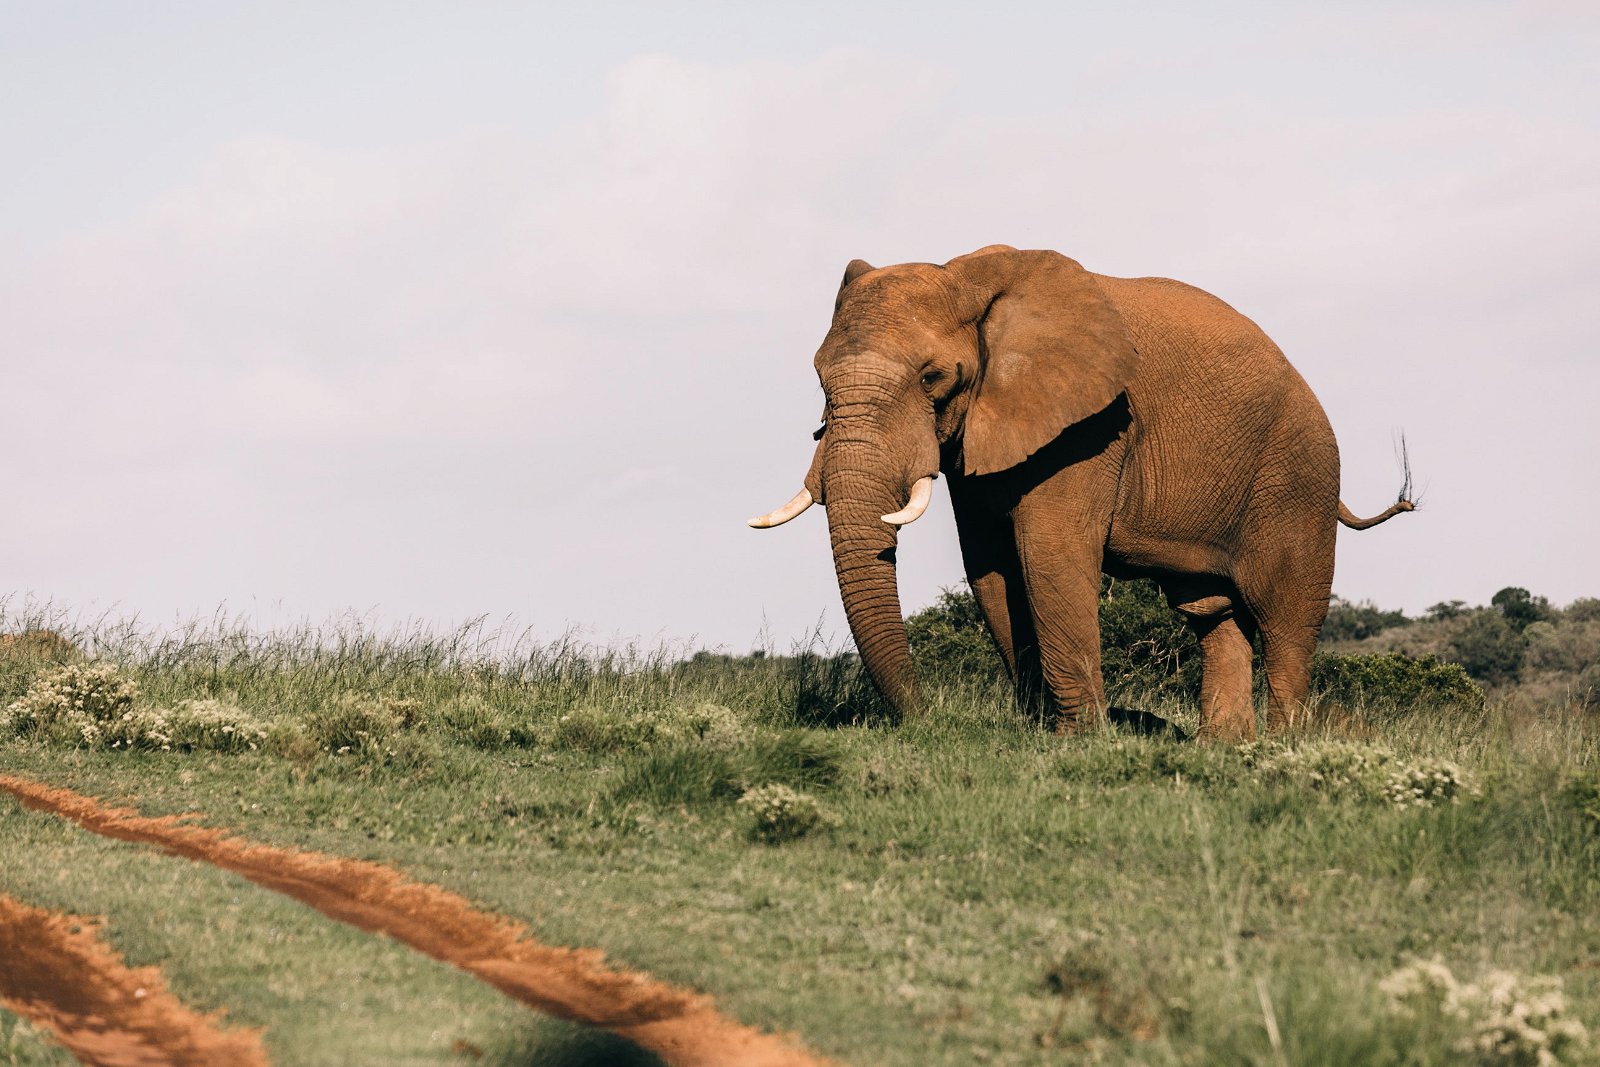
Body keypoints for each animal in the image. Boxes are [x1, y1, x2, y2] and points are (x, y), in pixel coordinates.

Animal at [749, 245, 1413, 740]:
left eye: (933, 377)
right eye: (818, 377)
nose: (925, 719)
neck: (969, 278)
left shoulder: (1092, 426)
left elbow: (1050, 553)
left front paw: (1079, 740)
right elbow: (990, 565)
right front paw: (1039, 730)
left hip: (1298, 477)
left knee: (1285, 618)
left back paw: (1282, 747)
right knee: (1213, 614)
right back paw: (1223, 749)